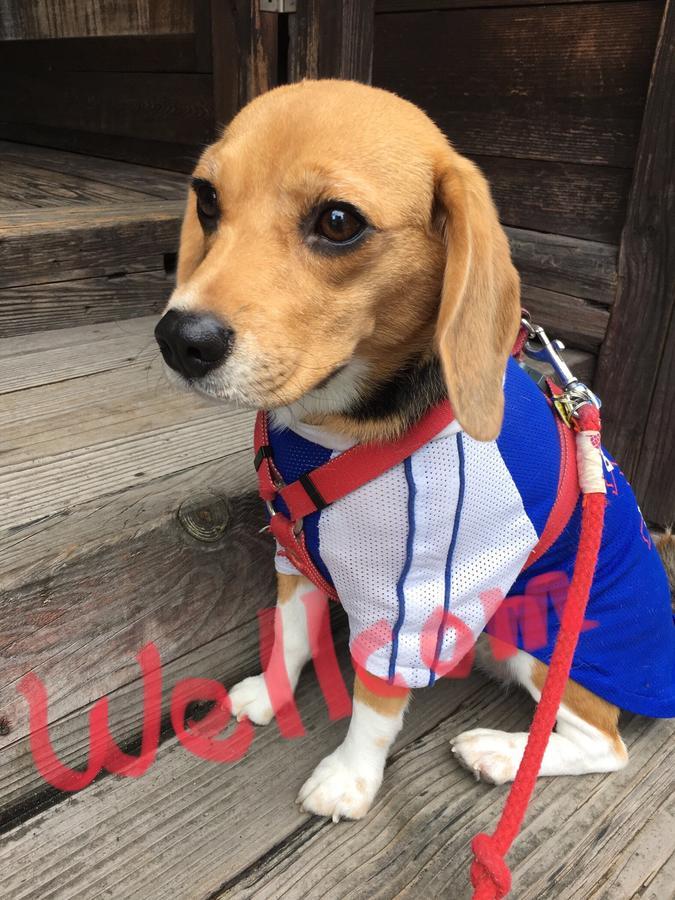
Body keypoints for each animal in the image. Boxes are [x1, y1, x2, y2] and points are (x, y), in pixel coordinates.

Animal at [154, 79, 675, 824]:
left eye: (337, 222)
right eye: (207, 199)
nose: (180, 339)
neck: (335, 430)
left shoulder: (412, 601)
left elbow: (375, 702)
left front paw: (349, 778)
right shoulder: (294, 552)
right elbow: (290, 634)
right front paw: (268, 692)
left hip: (545, 635)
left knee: (605, 744)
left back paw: (497, 752)